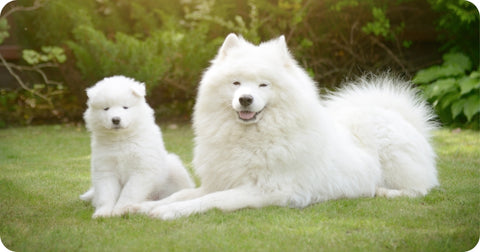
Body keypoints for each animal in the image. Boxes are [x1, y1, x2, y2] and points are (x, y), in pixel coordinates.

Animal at [80, 76, 193, 218]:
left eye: (125, 107)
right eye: (106, 108)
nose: (115, 119)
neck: (121, 140)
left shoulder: (142, 169)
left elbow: (129, 192)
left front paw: (120, 210)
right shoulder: (106, 169)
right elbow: (107, 193)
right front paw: (103, 213)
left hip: (175, 169)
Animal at [134, 34, 438, 220]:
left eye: (263, 85)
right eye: (236, 83)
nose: (245, 99)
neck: (249, 139)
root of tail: (400, 116)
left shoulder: (268, 190)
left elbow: (212, 201)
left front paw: (170, 212)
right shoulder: (219, 180)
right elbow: (183, 193)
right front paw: (139, 206)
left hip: (395, 163)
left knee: (420, 189)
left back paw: (385, 191)